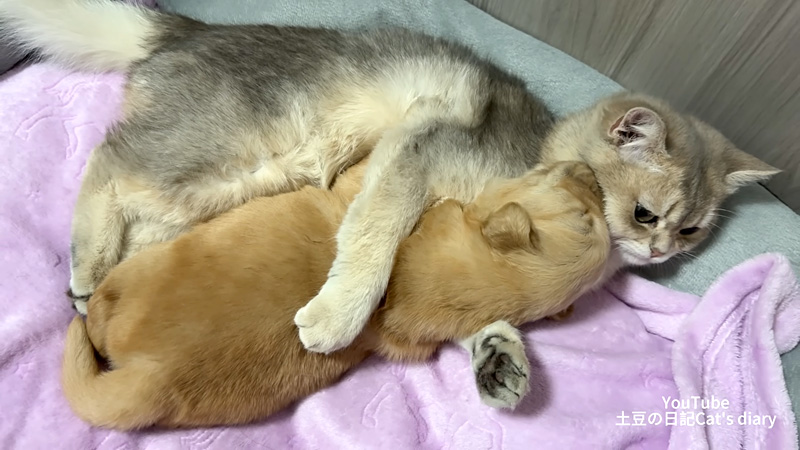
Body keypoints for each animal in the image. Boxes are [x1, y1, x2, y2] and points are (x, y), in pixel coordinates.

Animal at [62, 158, 608, 428]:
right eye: (588, 215)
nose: (593, 172)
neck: (410, 281)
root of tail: (149, 381)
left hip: (129, 277)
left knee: (93, 313)